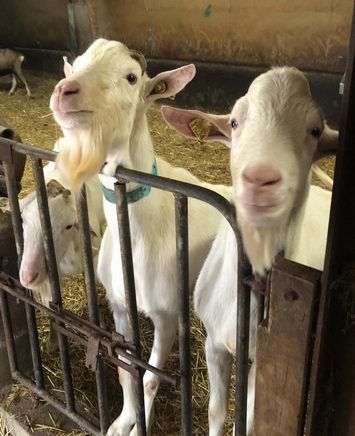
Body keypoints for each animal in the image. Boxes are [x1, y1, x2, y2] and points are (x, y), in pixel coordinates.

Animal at [19, 162, 105, 350]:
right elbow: (52, 308)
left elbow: (91, 291)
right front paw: (52, 343)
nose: (28, 276)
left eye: (68, 226)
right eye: (24, 221)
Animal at [49, 39, 234, 434]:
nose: (63, 91)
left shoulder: (166, 314)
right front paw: (123, 421)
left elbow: (148, 377)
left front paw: (139, 423)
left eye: (131, 77)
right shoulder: (120, 305)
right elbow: (125, 369)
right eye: (78, 64)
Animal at [161, 66, 340, 434]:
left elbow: (250, 419)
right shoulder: (214, 341)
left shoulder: (265, 362)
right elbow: (216, 411)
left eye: (315, 130)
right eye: (233, 122)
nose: (260, 179)